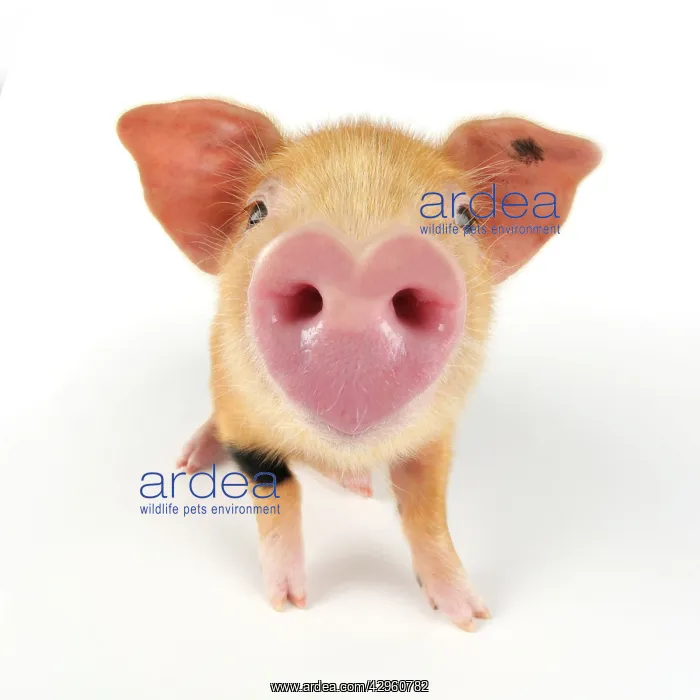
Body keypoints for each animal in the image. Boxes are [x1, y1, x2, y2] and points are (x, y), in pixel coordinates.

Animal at [117, 99, 601, 631]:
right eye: (255, 213)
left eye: (466, 217)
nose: (358, 267)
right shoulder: (243, 421)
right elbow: (277, 490)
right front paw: (289, 603)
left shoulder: (436, 434)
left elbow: (427, 510)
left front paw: (472, 617)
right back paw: (190, 462)